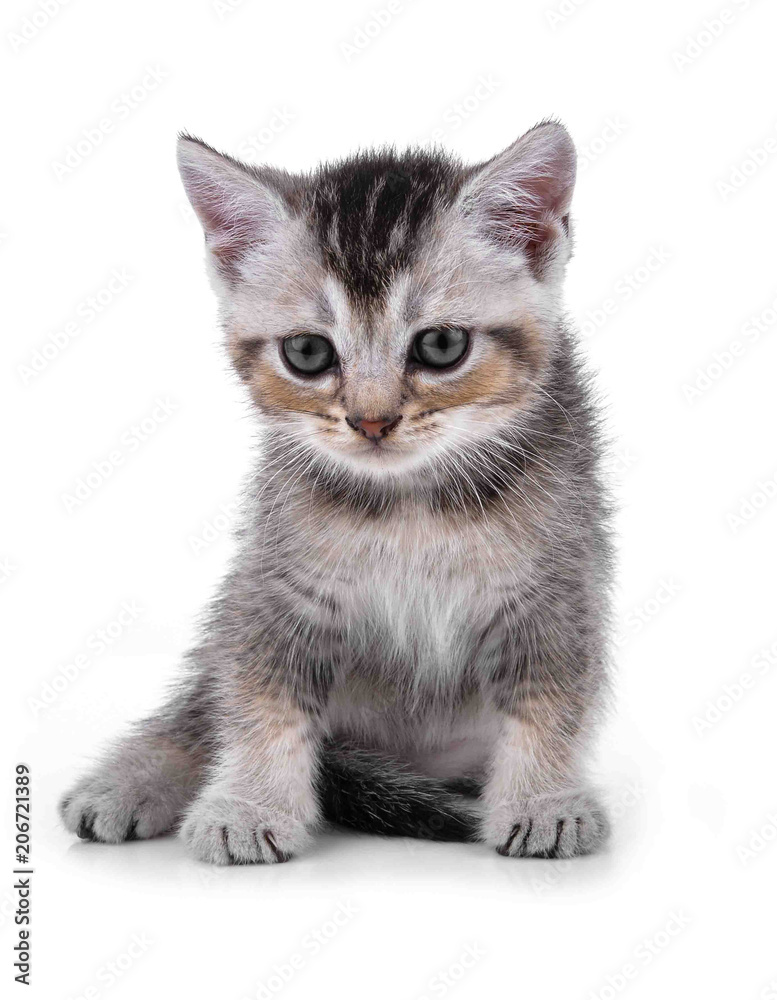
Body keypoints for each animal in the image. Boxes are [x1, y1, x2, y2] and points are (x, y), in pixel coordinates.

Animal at [59, 121, 612, 864]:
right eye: (307, 353)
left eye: (441, 345)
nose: (371, 421)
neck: (410, 503)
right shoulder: (273, 584)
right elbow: (260, 699)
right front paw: (249, 805)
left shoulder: (556, 590)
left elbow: (549, 700)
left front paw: (542, 801)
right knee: (201, 705)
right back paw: (130, 778)